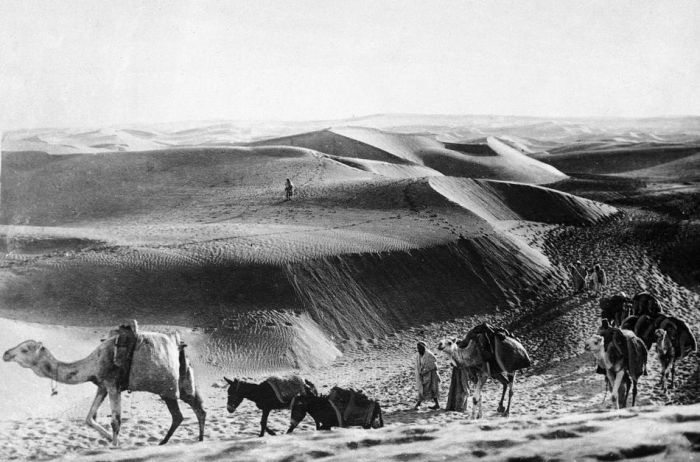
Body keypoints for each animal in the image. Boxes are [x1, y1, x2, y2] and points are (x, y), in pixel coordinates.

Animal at [3, 325, 206, 446]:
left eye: (24, 349)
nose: (6, 353)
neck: (93, 363)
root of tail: (181, 346)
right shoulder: (101, 386)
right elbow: (89, 418)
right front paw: (112, 440)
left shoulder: (113, 385)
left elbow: (116, 421)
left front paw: (115, 446)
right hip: (184, 381)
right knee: (197, 408)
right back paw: (197, 439)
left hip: (169, 388)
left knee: (181, 414)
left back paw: (167, 442)